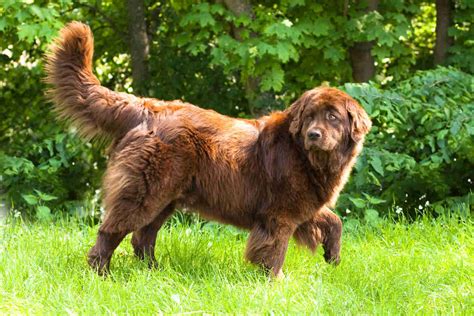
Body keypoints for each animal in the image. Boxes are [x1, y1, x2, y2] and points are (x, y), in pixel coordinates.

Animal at [45, 23, 370, 278]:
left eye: (332, 117)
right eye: (310, 116)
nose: (314, 135)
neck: (305, 155)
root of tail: (146, 107)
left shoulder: (303, 204)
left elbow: (334, 220)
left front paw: (333, 257)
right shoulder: (279, 213)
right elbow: (275, 249)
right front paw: (276, 282)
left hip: (166, 197)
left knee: (143, 238)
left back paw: (155, 273)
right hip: (145, 192)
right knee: (112, 230)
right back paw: (101, 273)